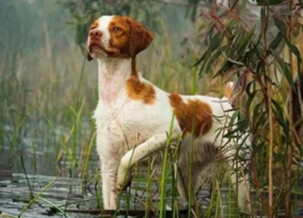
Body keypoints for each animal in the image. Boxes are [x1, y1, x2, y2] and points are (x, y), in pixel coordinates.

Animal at [86, 16, 251, 214]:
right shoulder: (108, 164)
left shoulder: (169, 132)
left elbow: (130, 155)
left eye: (116, 28)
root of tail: (226, 101)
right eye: (94, 26)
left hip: (239, 172)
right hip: (184, 179)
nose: (93, 34)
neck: (117, 97)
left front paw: (123, 178)